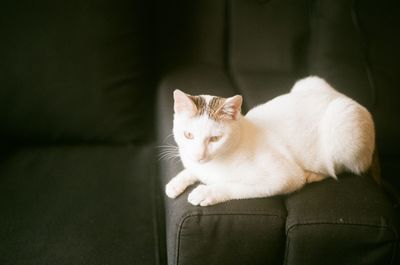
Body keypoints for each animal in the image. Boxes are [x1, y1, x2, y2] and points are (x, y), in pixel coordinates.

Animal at [165, 75, 376, 205]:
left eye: (215, 138)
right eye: (188, 135)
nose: (199, 156)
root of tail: (345, 97)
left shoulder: (284, 177)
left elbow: (234, 187)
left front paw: (207, 192)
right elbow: (191, 170)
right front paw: (176, 182)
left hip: (343, 126)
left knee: (342, 168)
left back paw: (314, 174)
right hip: (307, 81)